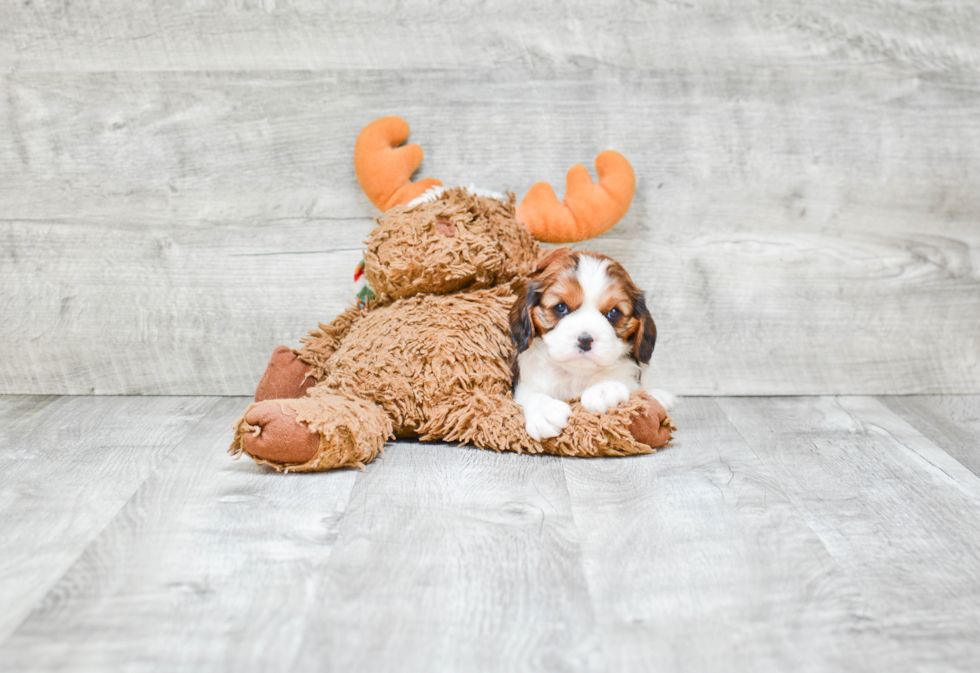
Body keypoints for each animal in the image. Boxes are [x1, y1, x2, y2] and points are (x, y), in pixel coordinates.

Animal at [510, 248, 668, 440]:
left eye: (613, 312)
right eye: (560, 307)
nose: (585, 340)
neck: (576, 374)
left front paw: (603, 388)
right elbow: (530, 395)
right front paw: (543, 410)